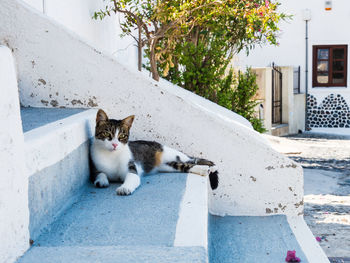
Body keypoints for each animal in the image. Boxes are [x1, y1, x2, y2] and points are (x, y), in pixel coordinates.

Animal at [89, 110, 217, 196]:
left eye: (122, 136)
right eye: (107, 134)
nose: (115, 144)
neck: (111, 156)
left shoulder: (132, 168)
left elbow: (132, 178)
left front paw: (124, 188)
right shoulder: (94, 166)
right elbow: (100, 173)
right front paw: (102, 181)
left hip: (173, 154)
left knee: (191, 160)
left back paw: (207, 168)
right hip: (167, 166)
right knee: (184, 166)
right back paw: (202, 170)